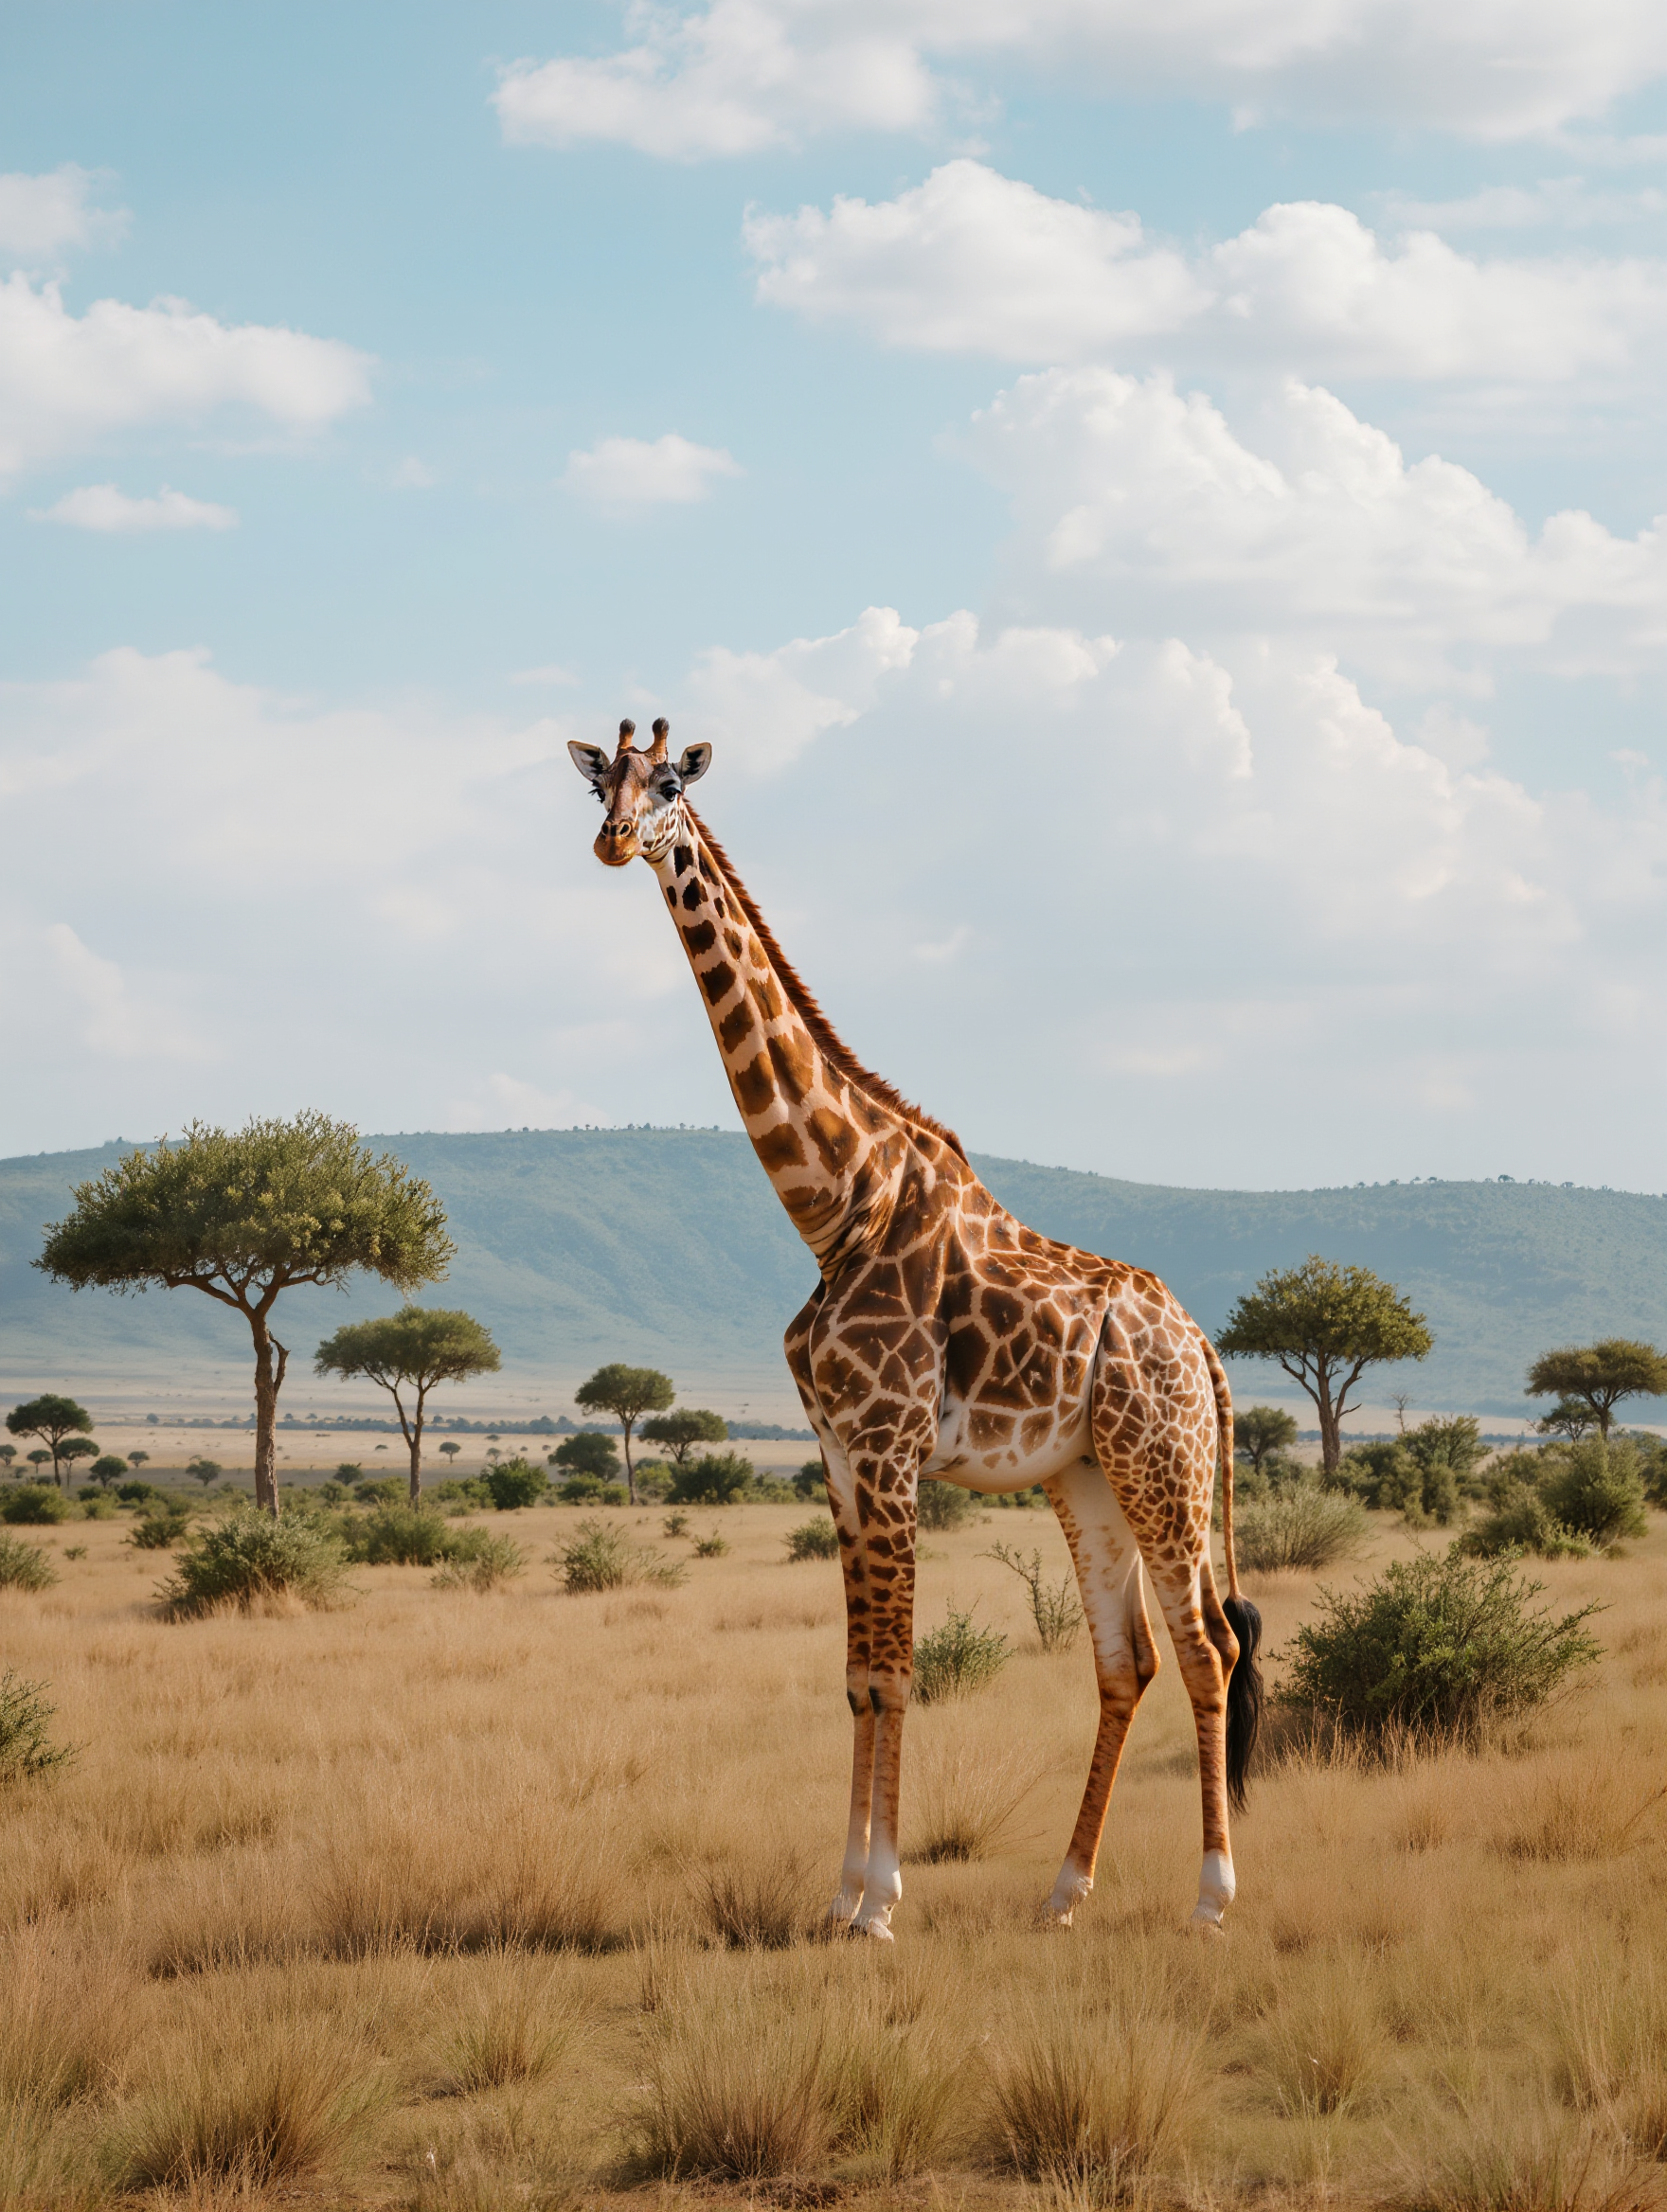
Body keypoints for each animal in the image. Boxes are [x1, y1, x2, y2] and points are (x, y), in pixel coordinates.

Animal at [567, 718, 1264, 1939]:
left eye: (668, 786)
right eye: (600, 781)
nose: (611, 841)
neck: (833, 1204)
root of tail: (1203, 1347)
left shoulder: (889, 1449)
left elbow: (896, 1669)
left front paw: (879, 1903)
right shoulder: (840, 1456)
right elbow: (857, 1674)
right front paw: (841, 1891)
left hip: (1160, 1460)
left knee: (1207, 1645)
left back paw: (1210, 1896)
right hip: (1084, 1473)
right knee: (1125, 1658)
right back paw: (1062, 1892)